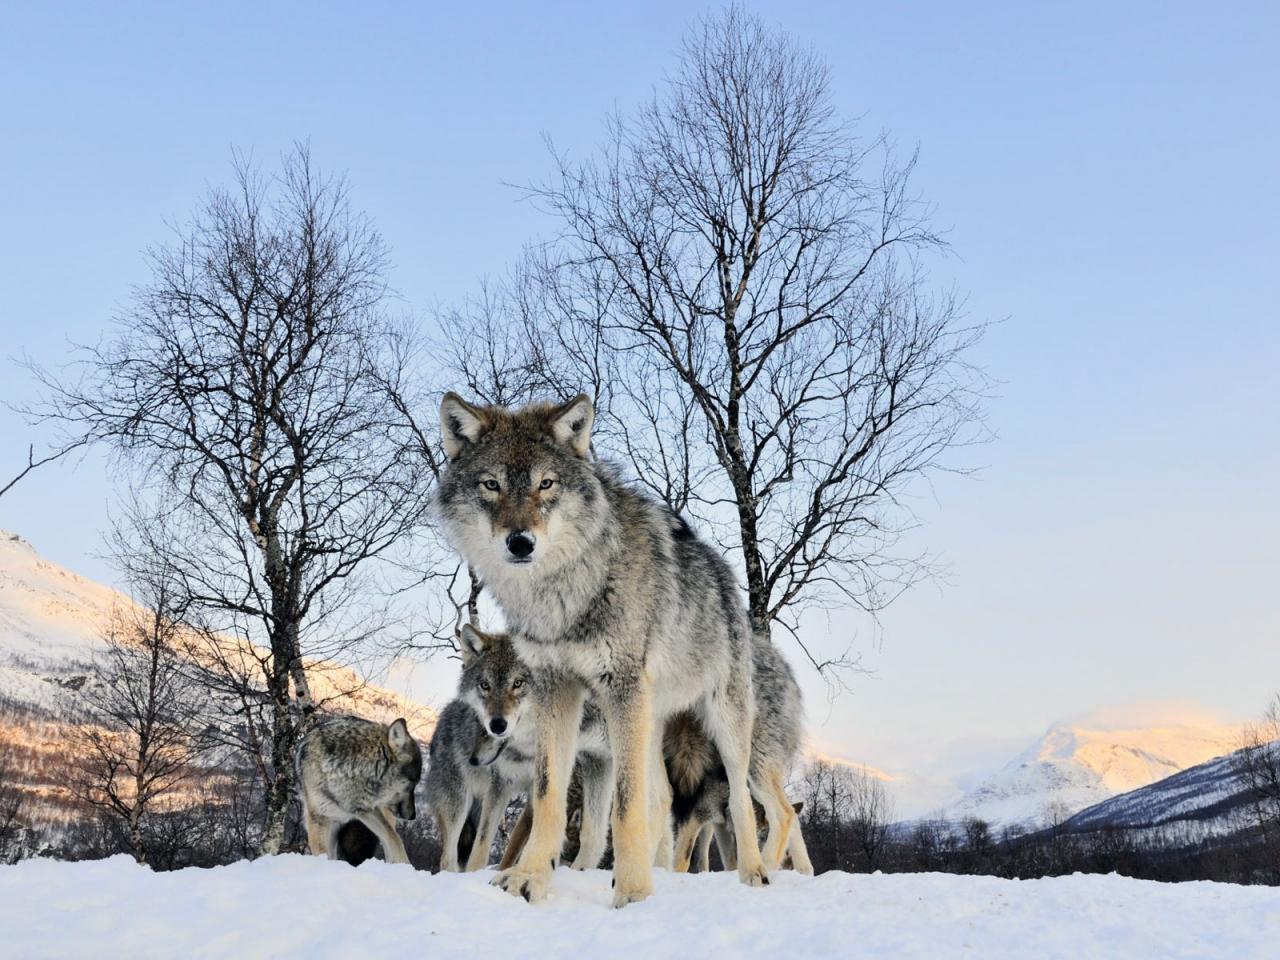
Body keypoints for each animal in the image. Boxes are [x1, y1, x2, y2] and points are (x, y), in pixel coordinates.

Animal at [293, 716, 419, 870]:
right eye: (412, 783)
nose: (413, 816)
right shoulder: (321, 820)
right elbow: (323, 854)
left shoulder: (367, 809)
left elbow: (395, 839)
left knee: (389, 838)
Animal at [435, 391, 762, 911]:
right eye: (491, 485)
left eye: (546, 484)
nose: (520, 542)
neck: (562, 593)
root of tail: (723, 570)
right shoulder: (556, 688)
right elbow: (549, 795)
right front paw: (529, 878)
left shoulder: (619, 688)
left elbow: (623, 808)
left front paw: (633, 894)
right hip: (647, 722)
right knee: (661, 798)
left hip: (720, 721)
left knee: (738, 799)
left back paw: (753, 875)